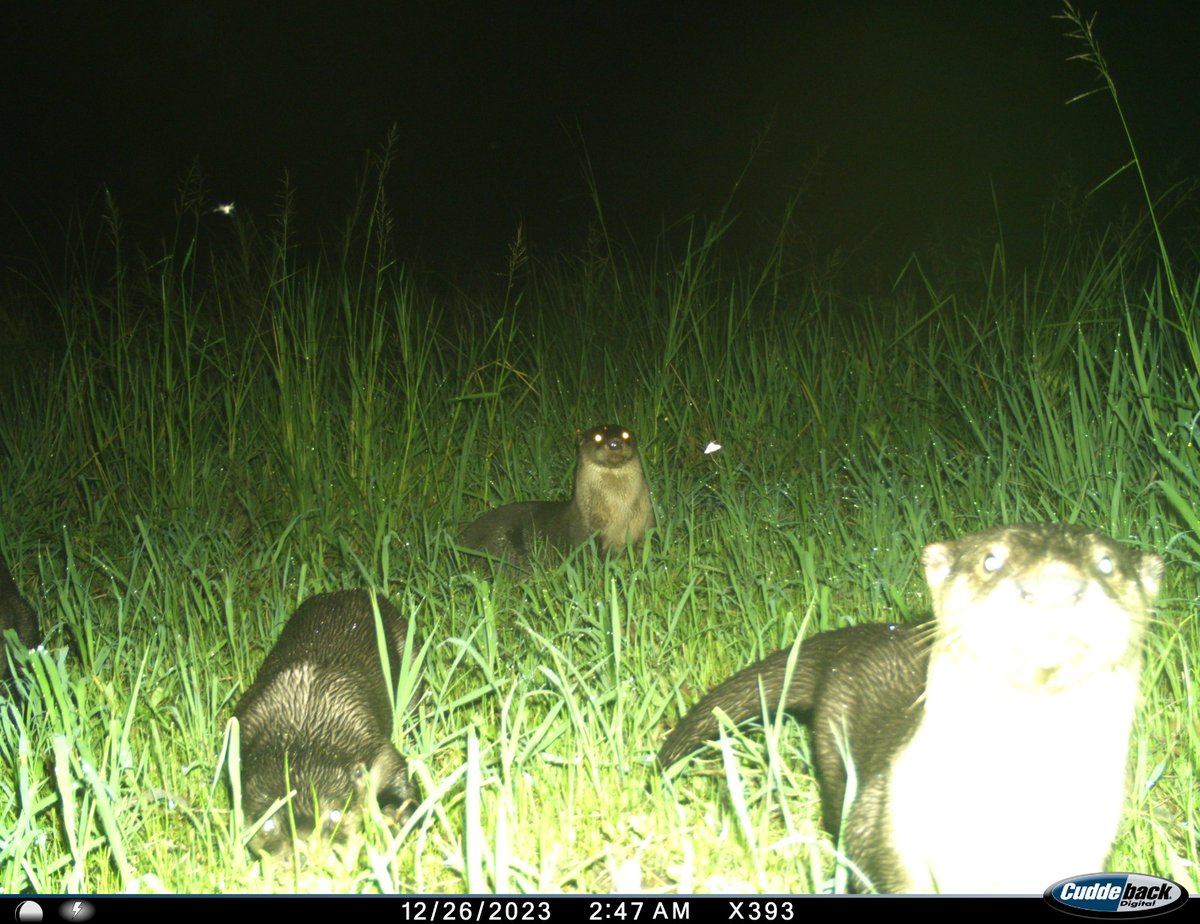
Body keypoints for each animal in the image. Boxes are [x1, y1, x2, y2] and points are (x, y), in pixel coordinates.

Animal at [232, 590, 422, 849]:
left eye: (335, 815)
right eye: (268, 824)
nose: (304, 849)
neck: (302, 724)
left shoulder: (376, 748)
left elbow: (401, 773)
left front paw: (397, 815)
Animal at [456, 422, 657, 566]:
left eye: (625, 435)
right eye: (598, 437)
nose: (615, 443)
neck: (619, 516)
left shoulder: (645, 525)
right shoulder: (584, 531)